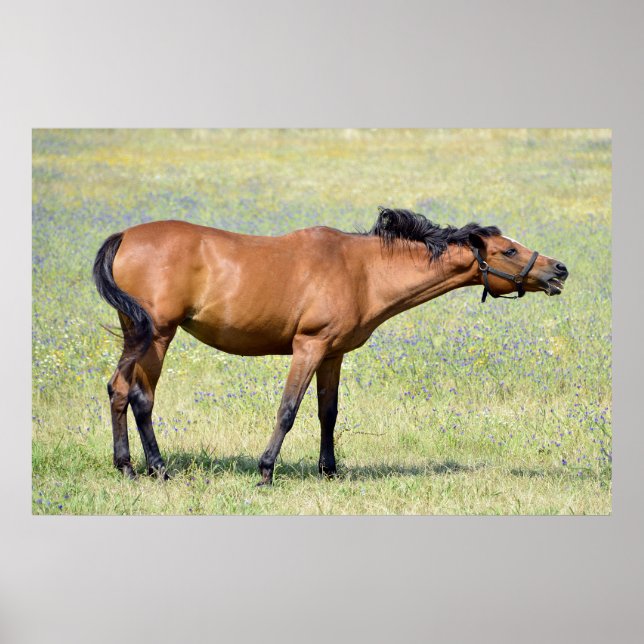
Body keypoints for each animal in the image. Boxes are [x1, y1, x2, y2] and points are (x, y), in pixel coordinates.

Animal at [93, 208, 568, 485]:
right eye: (508, 250)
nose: (559, 270)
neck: (362, 270)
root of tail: (126, 236)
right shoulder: (310, 347)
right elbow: (288, 410)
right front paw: (265, 472)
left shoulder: (332, 354)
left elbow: (328, 413)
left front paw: (329, 470)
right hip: (158, 336)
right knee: (140, 398)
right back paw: (158, 469)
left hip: (136, 334)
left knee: (118, 390)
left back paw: (126, 467)